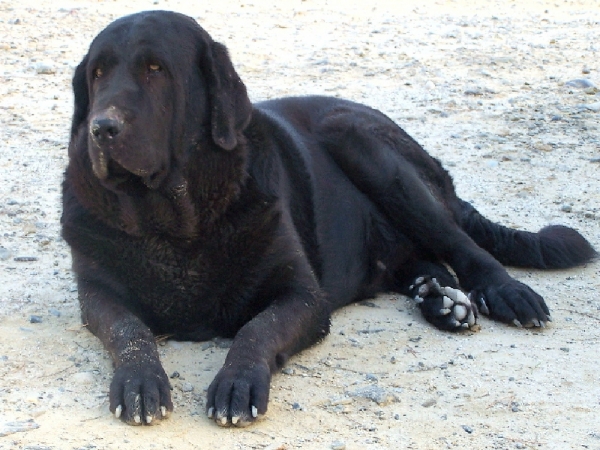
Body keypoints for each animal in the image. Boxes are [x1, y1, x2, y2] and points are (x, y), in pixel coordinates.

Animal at [59, 9, 596, 426]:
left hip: (360, 141)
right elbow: (129, 330)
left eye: (155, 69)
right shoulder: (98, 294)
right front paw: (140, 382)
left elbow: (257, 329)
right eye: (98, 74)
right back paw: (442, 300)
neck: (174, 222)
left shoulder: (303, 296)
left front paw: (238, 383)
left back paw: (504, 294)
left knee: (464, 245)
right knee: (425, 262)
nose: (101, 128)